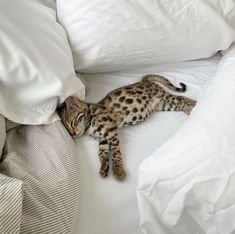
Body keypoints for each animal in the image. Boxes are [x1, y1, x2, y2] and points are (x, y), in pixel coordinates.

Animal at [58, 75, 196, 181]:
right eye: (68, 130)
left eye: (72, 123)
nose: (73, 133)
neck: (90, 120)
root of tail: (144, 81)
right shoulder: (102, 138)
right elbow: (101, 153)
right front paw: (104, 167)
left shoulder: (111, 131)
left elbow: (115, 152)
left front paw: (118, 170)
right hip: (163, 105)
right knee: (179, 103)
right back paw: (191, 108)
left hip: (162, 96)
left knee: (180, 98)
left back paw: (194, 105)